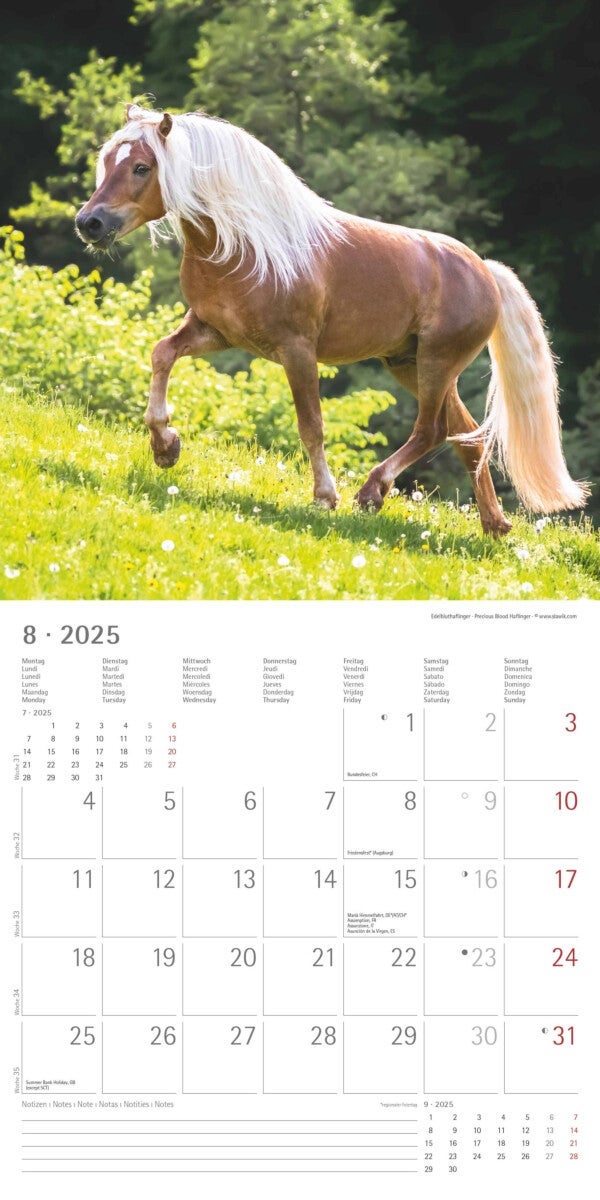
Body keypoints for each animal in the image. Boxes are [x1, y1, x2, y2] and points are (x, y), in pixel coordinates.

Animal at [75, 104, 589, 536]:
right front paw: (165, 447)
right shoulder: (215, 331)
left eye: (141, 167)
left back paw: (372, 492)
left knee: (431, 431)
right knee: (467, 439)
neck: (245, 242)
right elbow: (161, 353)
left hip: (437, 363)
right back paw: (494, 525)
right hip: (411, 365)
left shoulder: (297, 351)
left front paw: (325, 497)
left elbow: (312, 425)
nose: (89, 223)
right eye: (107, 161)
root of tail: (485, 271)